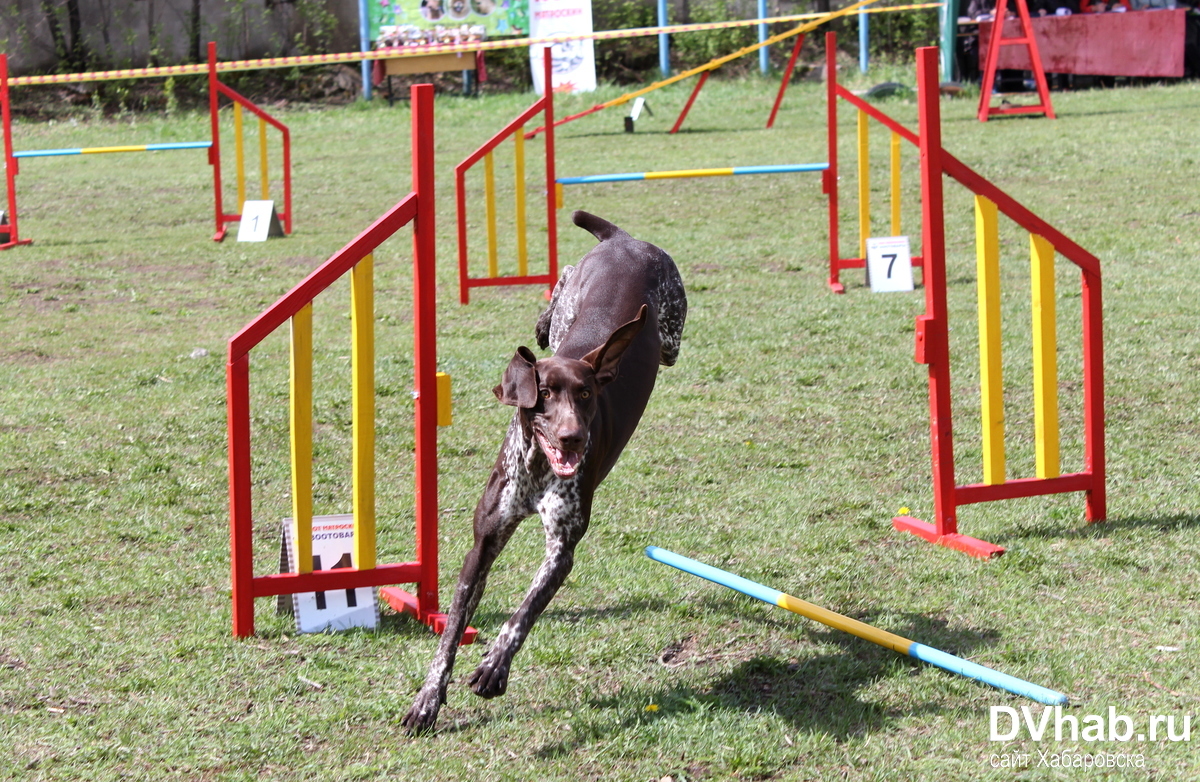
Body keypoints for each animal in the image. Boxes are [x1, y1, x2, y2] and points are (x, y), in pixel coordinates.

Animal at [400, 208, 686, 734]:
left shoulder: (561, 550)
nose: (573, 437)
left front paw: (494, 665)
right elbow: (450, 632)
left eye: (587, 395)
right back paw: (542, 322)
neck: (536, 469)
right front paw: (427, 699)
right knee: (556, 300)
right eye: (546, 394)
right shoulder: (483, 544)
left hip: (671, 336)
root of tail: (625, 240)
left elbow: (523, 613)